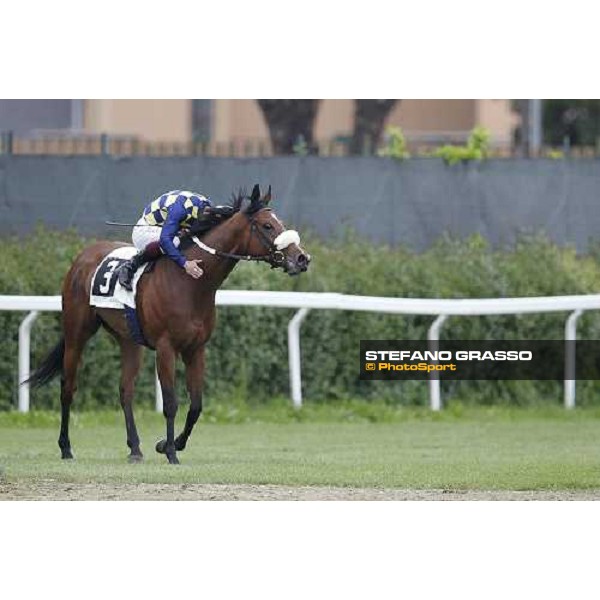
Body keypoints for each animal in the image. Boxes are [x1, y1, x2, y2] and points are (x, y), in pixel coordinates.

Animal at [26, 185, 312, 466]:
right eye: (267, 225)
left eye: (280, 223)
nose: (302, 258)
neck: (192, 285)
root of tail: (82, 256)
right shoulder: (166, 348)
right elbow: (171, 403)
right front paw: (172, 452)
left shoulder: (196, 349)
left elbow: (196, 405)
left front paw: (168, 444)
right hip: (77, 332)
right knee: (68, 387)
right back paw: (66, 447)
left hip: (129, 340)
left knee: (125, 390)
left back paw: (135, 448)